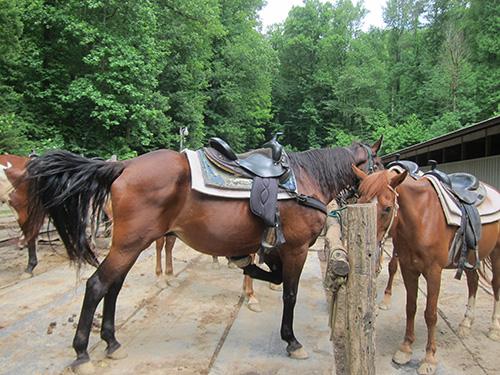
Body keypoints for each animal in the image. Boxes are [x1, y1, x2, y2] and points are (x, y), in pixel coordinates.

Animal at [23, 140, 382, 374]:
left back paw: (111, 342)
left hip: (131, 245)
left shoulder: (279, 249)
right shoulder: (296, 249)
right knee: (97, 285)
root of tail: (121, 165)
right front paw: (292, 341)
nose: (376, 199)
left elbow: (274, 276)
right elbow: (289, 293)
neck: (306, 180)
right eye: (378, 165)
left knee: (113, 287)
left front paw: (246, 267)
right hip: (129, 244)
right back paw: (82, 352)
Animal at [352, 167, 500, 375]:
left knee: (496, 286)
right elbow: (411, 307)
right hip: (471, 257)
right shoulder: (408, 268)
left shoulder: (433, 272)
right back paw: (465, 324)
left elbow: (430, 314)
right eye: (359, 202)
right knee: (473, 283)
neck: (421, 218)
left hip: (496, 254)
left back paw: (494, 328)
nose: (368, 246)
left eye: (388, 208)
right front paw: (405, 349)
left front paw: (429, 358)